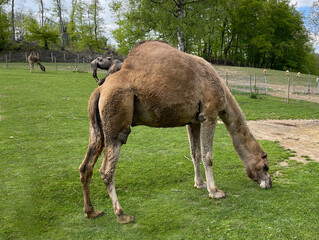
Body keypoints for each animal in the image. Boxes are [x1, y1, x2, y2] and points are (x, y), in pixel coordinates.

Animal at [80, 40, 272, 223]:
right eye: (266, 166)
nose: (269, 183)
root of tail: (99, 90)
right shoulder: (209, 114)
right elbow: (207, 156)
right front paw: (215, 192)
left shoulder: (193, 121)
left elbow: (195, 153)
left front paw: (200, 184)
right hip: (116, 116)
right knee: (107, 170)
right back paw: (122, 214)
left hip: (96, 127)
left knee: (86, 165)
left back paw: (92, 212)